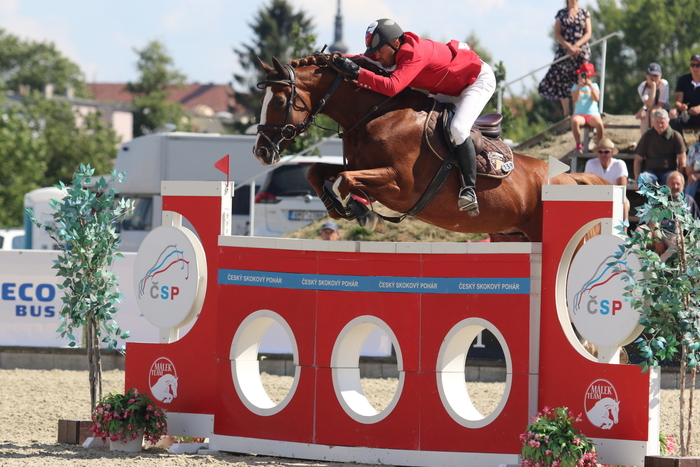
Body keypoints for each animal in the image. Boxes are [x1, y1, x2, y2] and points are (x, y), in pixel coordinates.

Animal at [253, 54, 599, 242]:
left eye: (280, 101)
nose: (262, 152)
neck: (374, 115)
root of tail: (571, 178)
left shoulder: (400, 185)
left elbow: (344, 180)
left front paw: (364, 213)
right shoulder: (360, 165)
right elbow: (317, 171)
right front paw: (338, 207)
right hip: (513, 235)